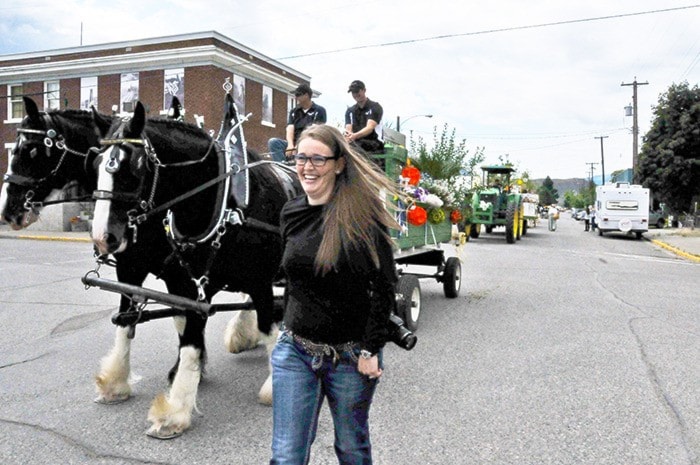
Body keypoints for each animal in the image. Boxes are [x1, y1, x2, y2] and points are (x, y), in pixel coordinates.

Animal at [91, 96, 300, 436]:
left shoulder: (257, 279)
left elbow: (267, 325)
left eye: (135, 167)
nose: (102, 236)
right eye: (95, 164)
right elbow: (168, 329)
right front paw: (123, 383)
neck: (225, 202)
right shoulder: (175, 280)